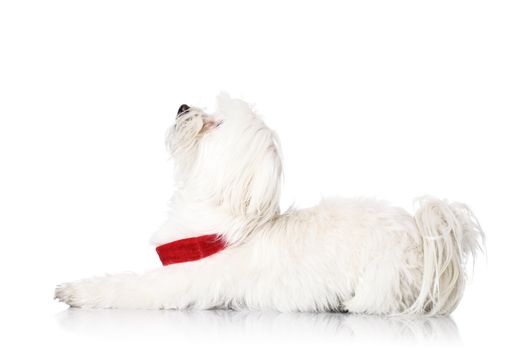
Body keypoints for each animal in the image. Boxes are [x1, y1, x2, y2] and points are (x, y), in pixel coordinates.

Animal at [55, 93, 486, 314]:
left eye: (213, 124)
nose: (182, 106)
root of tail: (421, 231)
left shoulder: (181, 282)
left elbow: (126, 286)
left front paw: (76, 291)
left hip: (383, 278)